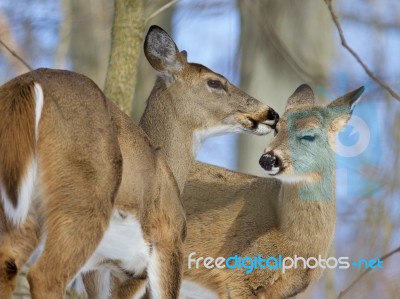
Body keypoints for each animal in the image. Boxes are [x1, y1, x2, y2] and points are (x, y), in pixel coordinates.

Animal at [0, 25, 278, 299]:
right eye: (215, 82)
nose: (271, 114)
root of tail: (29, 86)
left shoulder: (101, 268)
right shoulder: (166, 241)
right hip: (82, 200)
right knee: (45, 276)